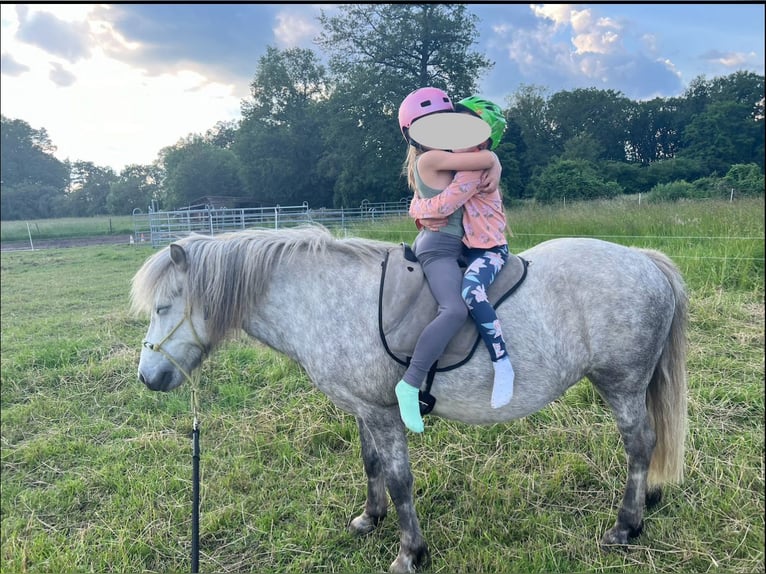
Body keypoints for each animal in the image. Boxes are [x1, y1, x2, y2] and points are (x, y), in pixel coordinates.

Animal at [132, 226, 688, 574]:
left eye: (163, 307)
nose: (148, 376)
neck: (323, 298)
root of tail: (646, 261)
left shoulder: (384, 413)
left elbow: (400, 480)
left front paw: (409, 553)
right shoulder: (364, 409)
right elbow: (371, 464)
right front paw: (369, 519)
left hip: (620, 383)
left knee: (639, 444)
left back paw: (626, 525)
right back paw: (647, 500)